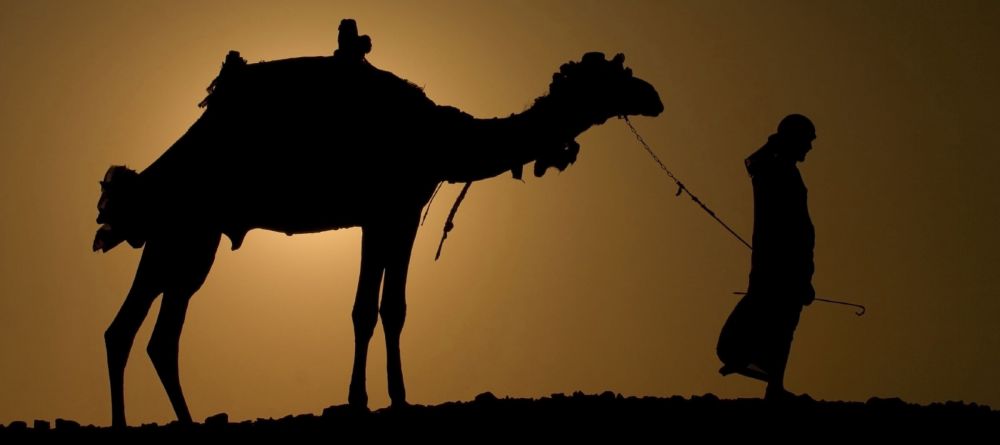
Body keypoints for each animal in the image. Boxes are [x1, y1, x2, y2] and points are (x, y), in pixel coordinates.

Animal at [94, 19, 662, 427]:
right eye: (616, 75)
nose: (653, 97)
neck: (442, 137)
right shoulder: (388, 210)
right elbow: (371, 308)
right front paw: (368, 399)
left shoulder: (395, 213)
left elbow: (390, 308)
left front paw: (391, 397)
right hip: (188, 229)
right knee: (147, 329)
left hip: (186, 234)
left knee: (138, 331)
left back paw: (155, 422)